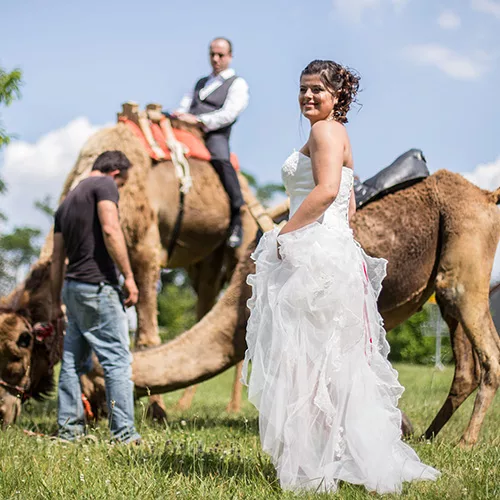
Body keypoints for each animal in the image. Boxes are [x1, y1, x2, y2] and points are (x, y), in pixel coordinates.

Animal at [0, 168, 500, 446]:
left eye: (23, 346)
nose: (6, 411)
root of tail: (485, 196)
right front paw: (396, 430)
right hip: (446, 285)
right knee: (465, 367)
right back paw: (433, 436)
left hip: (467, 268)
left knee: (489, 354)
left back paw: (465, 443)